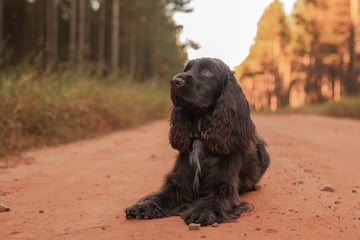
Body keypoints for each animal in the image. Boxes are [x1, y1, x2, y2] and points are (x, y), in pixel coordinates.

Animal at [125, 57, 268, 226]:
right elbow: (160, 195)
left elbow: (213, 200)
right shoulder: (178, 182)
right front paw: (143, 206)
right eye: (187, 69)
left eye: (207, 71)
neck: (201, 136)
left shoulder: (224, 186)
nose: (175, 81)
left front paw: (201, 211)